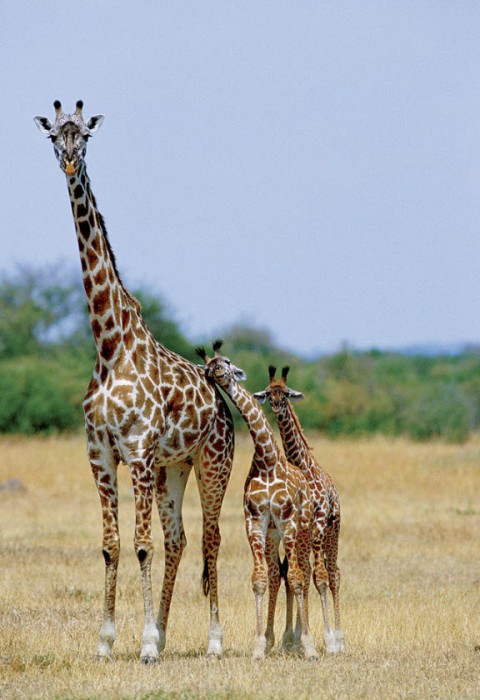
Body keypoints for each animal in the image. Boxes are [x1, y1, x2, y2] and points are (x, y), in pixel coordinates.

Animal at [33, 101, 235, 662]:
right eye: (54, 136)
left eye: (86, 136)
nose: (69, 162)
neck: (109, 345)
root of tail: (222, 403)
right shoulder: (101, 455)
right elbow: (112, 545)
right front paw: (108, 642)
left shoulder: (138, 452)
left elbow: (141, 545)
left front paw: (143, 644)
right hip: (174, 468)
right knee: (179, 539)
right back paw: (165, 632)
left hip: (212, 463)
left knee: (209, 539)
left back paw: (213, 641)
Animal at [196, 341, 319, 660]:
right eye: (209, 364)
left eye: (226, 361)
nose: (215, 371)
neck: (267, 459)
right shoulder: (254, 520)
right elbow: (260, 579)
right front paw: (259, 646)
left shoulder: (287, 520)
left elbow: (297, 578)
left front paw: (309, 646)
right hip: (273, 533)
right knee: (280, 573)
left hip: (302, 528)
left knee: (303, 572)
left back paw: (306, 639)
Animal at [253, 366, 344, 653]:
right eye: (269, 393)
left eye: (286, 394)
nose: (276, 405)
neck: (301, 463)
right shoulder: (295, 527)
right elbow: (295, 575)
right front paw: (290, 638)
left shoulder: (317, 523)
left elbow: (319, 577)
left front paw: (328, 639)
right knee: (298, 571)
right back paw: (293, 637)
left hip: (332, 530)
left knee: (333, 573)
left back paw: (340, 639)